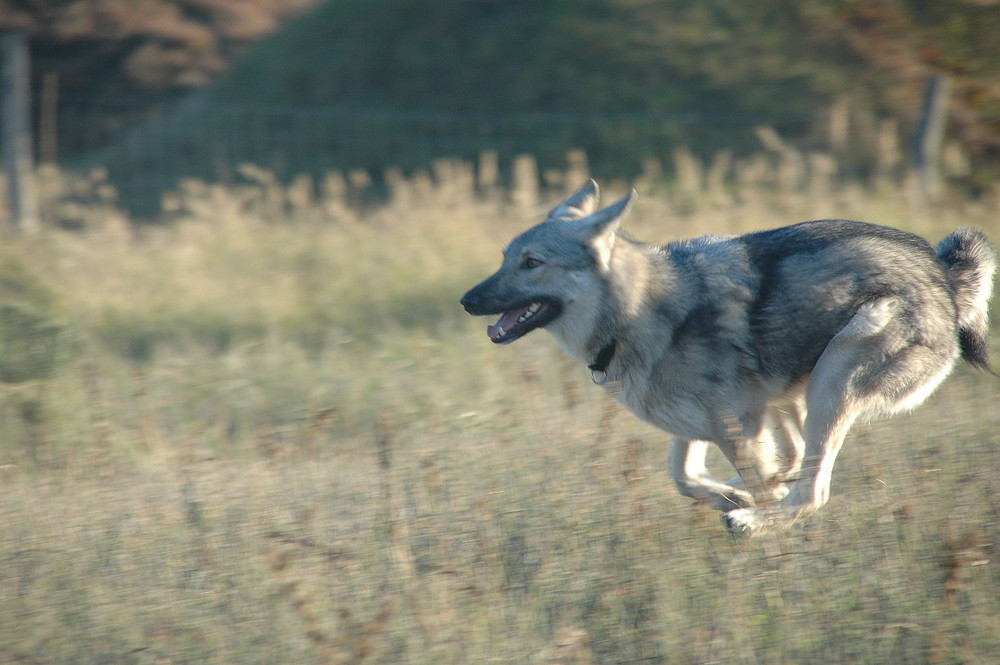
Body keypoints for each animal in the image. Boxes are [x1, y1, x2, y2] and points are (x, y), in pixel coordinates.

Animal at [460, 180, 992, 536]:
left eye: (532, 263)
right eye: (506, 258)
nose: (467, 300)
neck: (640, 313)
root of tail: (943, 275)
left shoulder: (734, 426)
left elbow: (740, 479)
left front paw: (751, 510)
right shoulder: (697, 426)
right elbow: (684, 478)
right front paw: (731, 493)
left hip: (832, 378)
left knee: (813, 489)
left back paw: (753, 521)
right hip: (794, 393)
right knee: (796, 458)